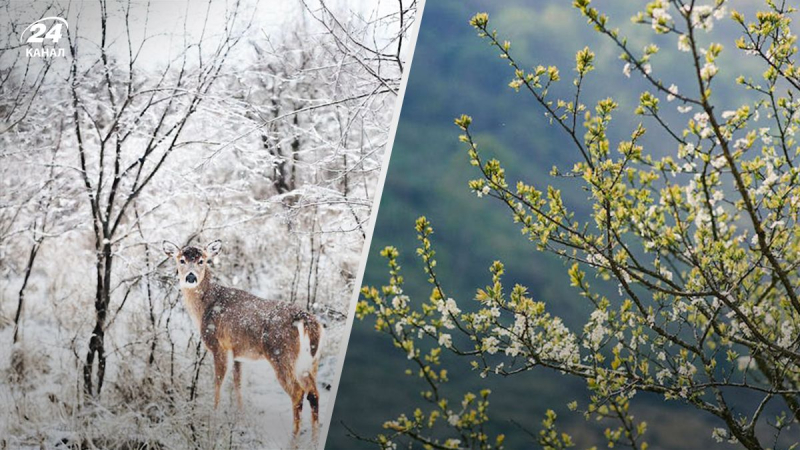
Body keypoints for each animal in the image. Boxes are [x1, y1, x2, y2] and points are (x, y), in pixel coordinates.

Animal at [162, 241, 322, 438]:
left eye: (202, 261)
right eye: (181, 260)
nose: (190, 277)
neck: (204, 308)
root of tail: (305, 319)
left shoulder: (219, 346)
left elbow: (219, 384)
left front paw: (213, 420)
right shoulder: (238, 353)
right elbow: (238, 385)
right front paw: (240, 418)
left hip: (281, 354)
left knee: (298, 393)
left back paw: (294, 438)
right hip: (310, 360)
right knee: (313, 393)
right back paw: (314, 439)